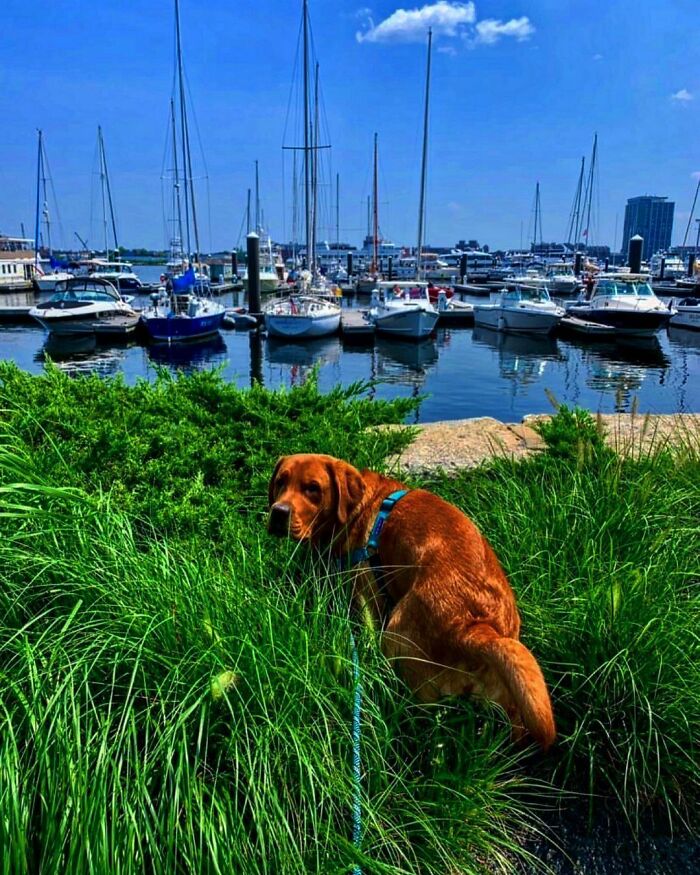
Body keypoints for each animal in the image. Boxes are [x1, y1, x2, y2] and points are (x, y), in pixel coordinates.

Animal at [268, 453, 556, 750]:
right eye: (280, 482)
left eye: (312, 488)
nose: (278, 512)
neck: (360, 509)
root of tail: (473, 626)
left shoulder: (366, 594)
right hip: (511, 697)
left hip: (397, 636)